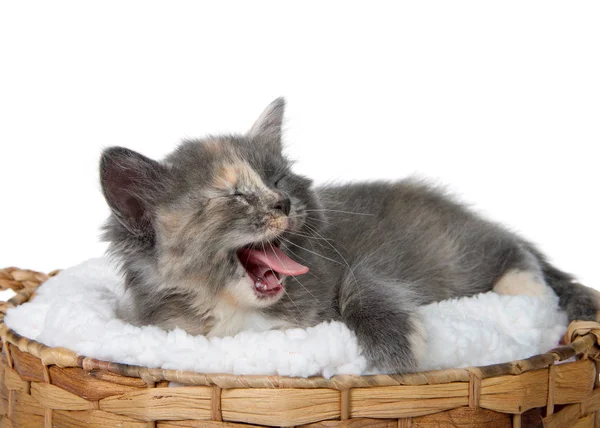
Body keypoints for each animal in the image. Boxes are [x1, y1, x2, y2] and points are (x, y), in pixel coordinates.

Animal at [101, 98, 596, 372]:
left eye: (278, 181)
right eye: (237, 195)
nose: (283, 204)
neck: (238, 312)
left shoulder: (358, 259)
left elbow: (365, 286)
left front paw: (396, 354)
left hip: (455, 251)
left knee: (512, 249)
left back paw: (527, 290)